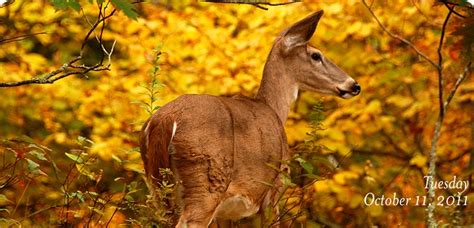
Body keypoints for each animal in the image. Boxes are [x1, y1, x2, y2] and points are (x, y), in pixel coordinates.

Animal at [139, 9, 362, 227]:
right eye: (316, 55)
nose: (354, 85)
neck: (273, 108)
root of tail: (165, 121)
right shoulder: (274, 189)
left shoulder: (225, 214)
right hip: (206, 181)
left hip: (159, 188)